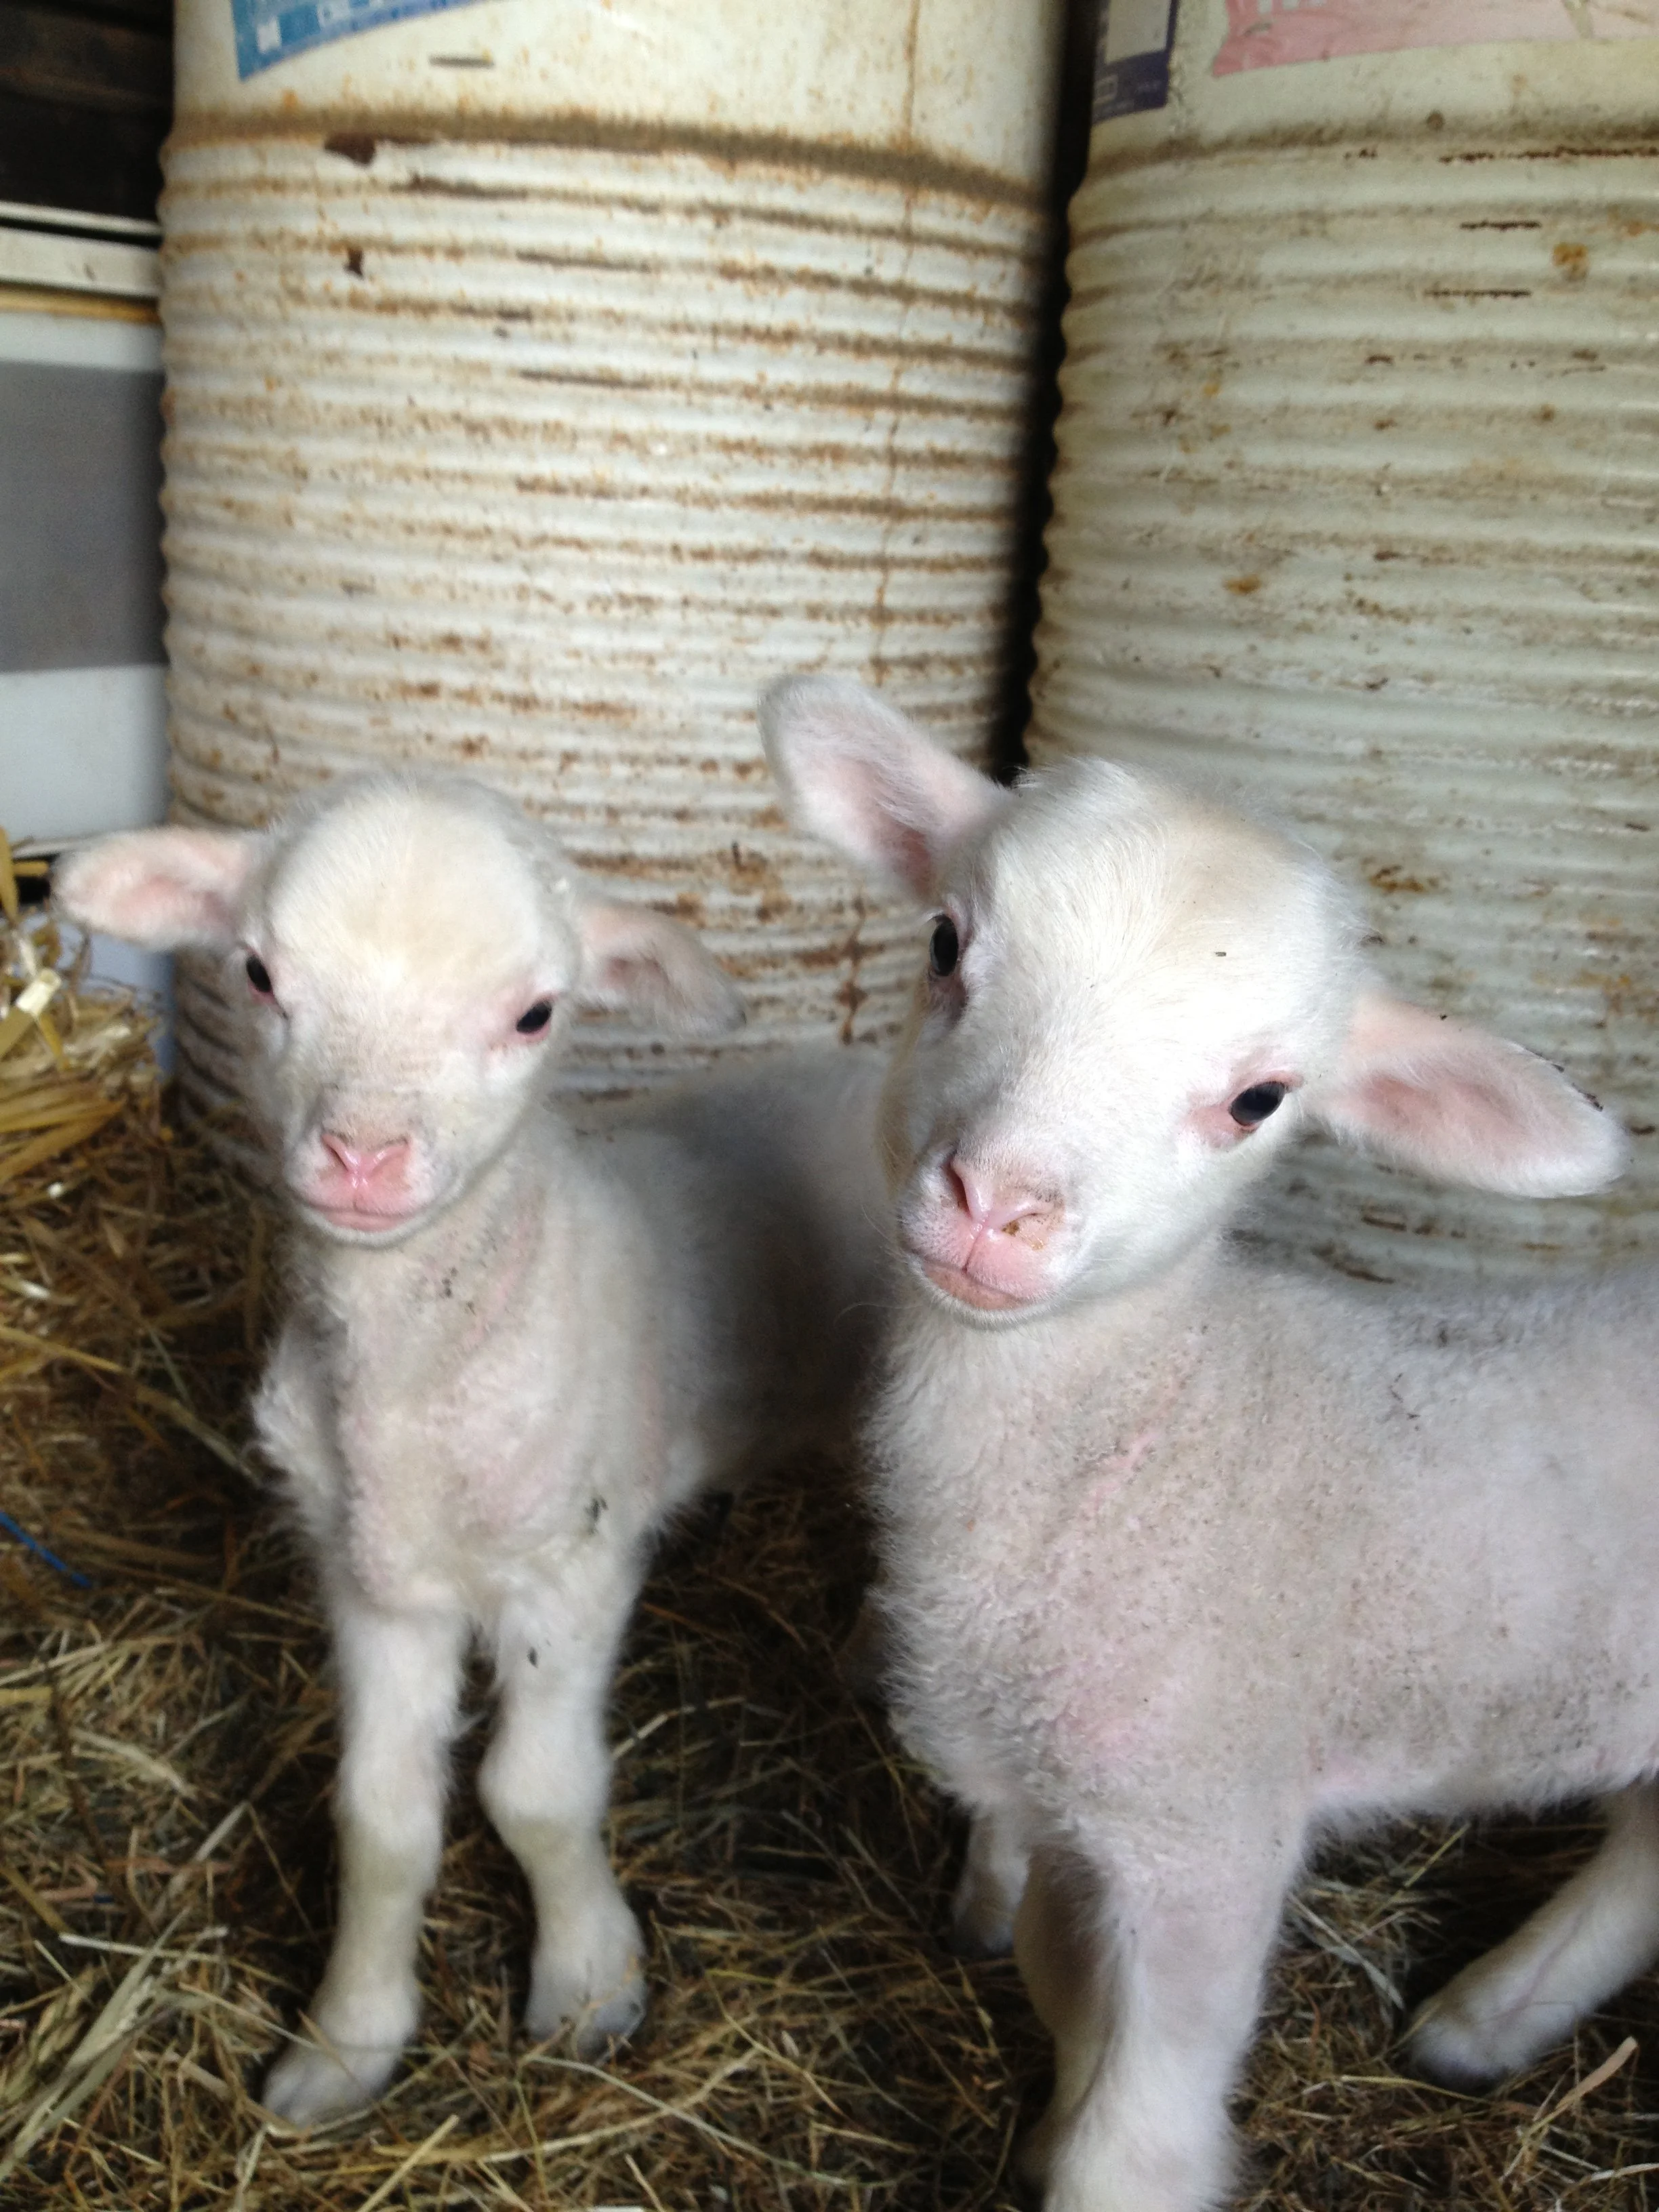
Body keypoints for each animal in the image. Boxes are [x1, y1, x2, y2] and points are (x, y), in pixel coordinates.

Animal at [56, 769, 887, 2127]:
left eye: (536, 1012)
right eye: (260, 973)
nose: (364, 1156)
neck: (413, 1370)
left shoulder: (570, 1569)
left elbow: (532, 1795)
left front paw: (588, 1986)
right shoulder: (374, 1582)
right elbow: (380, 1816)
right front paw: (344, 2045)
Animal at [759, 674, 1657, 2212]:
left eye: (1259, 1100)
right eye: (945, 942)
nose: (996, 1205)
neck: (1163, 1425)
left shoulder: (1205, 1832)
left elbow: (1135, 2140)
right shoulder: (1067, 1816)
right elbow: (1066, 1996)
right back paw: (1487, 2019)